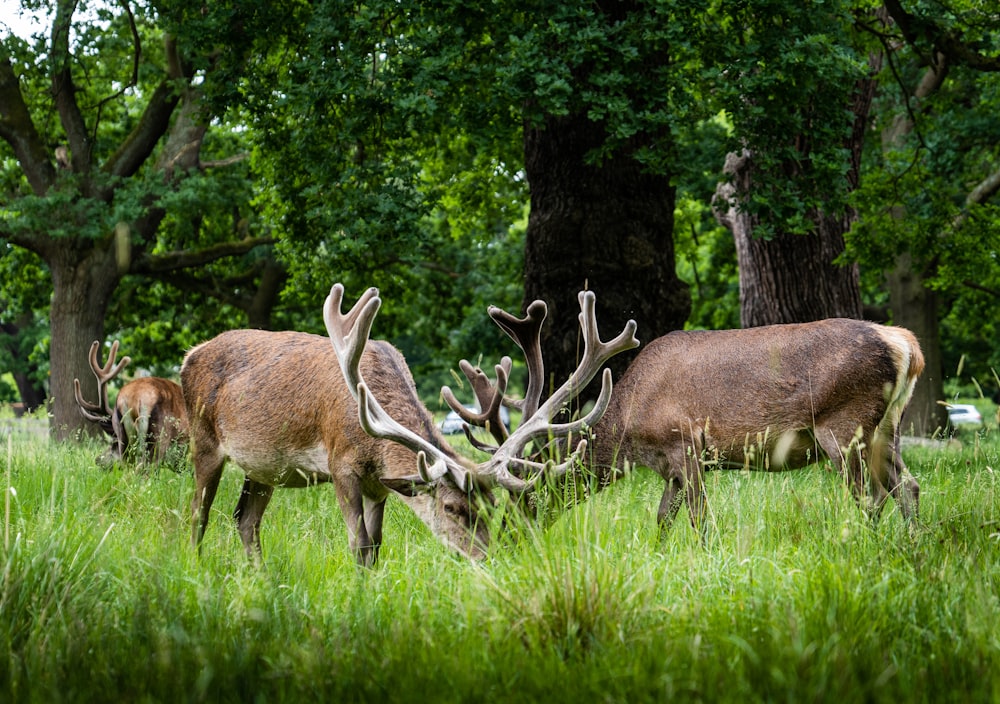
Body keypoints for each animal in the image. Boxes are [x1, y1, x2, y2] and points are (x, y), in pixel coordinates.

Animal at [181, 284, 636, 564]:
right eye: (452, 507)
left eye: (493, 507)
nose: (489, 559)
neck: (373, 444)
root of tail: (189, 355)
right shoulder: (341, 464)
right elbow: (358, 543)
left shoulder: (379, 484)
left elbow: (376, 546)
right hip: (203, 441)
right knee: (197, 515)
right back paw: (195, 568)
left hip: (264, 470)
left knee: (245, 520)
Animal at [444, 300, 920, 532]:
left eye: (525, 498)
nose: (507, 537)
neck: (628, 427)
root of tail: (906, 345)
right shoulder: (668, 468)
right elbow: (662, 520)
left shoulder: (685, 444)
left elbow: (699, 520)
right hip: (887, 429)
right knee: (909, 487)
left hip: (844, 425)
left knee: (872, 498)